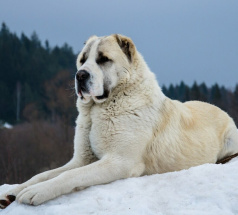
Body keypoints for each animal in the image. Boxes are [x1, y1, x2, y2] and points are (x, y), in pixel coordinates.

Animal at [0, 34, 238, 208]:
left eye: (103, 59)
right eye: (82, 60)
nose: (80, 75)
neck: (100, 109)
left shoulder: (118, 161)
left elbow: (69, 176)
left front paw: (35, 192)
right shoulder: (81, 159)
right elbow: (45, 174)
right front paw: (13, 191)